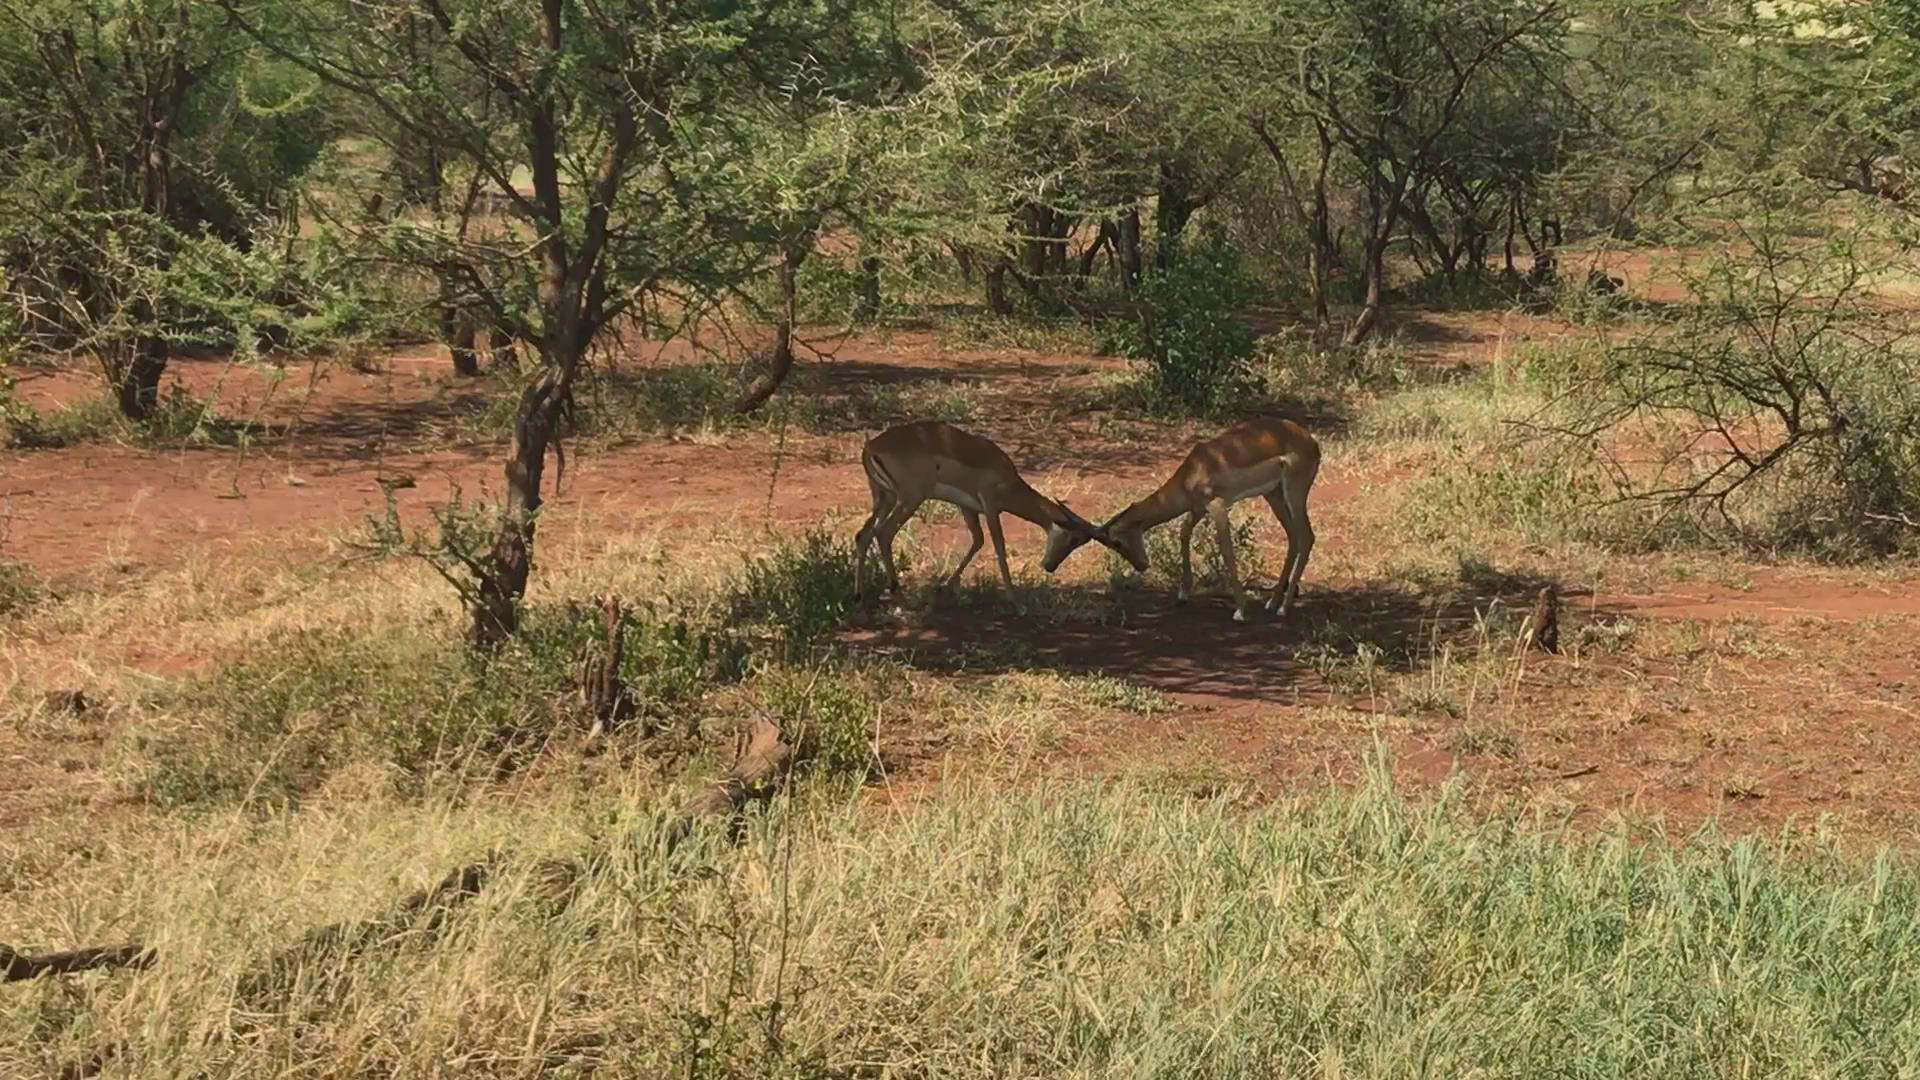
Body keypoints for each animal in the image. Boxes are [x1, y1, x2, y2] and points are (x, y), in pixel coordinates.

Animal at [856, 418, 1113, 595]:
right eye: (1074, 539)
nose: (1050, 566)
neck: (1008, 478)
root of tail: (870, 447)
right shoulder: (991, 506)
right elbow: (999, 545)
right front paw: (1013, 596)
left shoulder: (968, 508)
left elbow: (977, 540)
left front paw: (946, 585)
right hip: (909, 499)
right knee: (883, 533)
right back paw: (895, 590)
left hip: (885, 498)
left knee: (863, 535)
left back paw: (861, 594)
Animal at [1052, 420, 1320, 622]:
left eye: (1116, 542)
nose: (1141, 565)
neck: (1193, 470)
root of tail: (1311, 441)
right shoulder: (1198, 508)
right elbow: (1184, 532)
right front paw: (1182, 594)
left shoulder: (1218, 506)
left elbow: (1226, 550)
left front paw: (1240, 610)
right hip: (1273, 494)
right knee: (1293, 537)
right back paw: (1272, 603)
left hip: (1294, 492)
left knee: (1307, 536)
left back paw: (1284, 608)